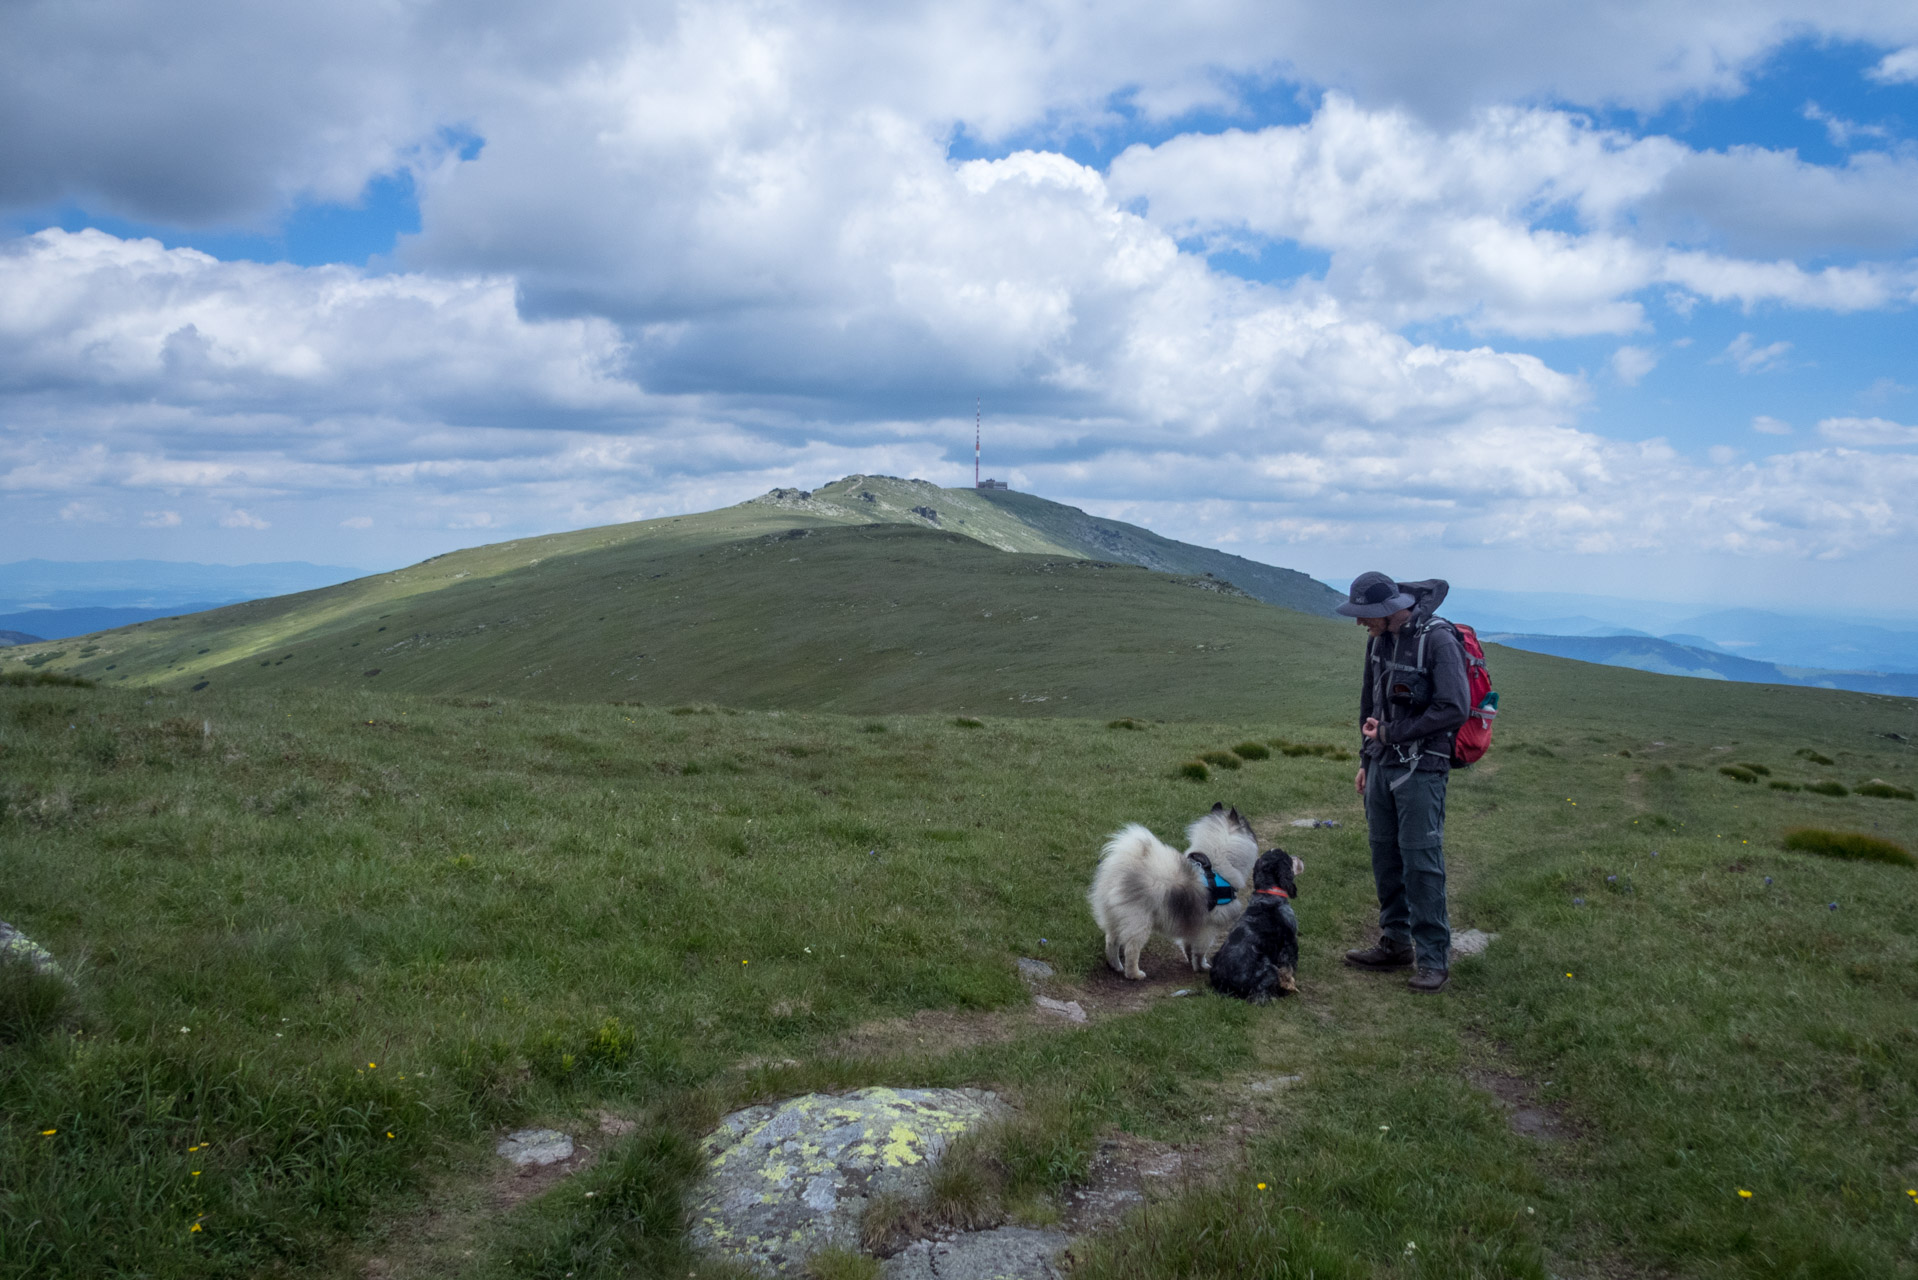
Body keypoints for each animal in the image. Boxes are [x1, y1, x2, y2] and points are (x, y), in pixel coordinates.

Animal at [1097, 802, 1258, 982]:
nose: (1252, 830)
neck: (1217, 864)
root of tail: (1120, 869)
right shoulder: (1208, 927)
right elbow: (1201, 951)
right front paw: (1202, 967)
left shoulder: (1193, 923)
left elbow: (1189, 945)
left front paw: (1190, 960)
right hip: (1139, 922)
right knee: (1131, 949)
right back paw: (1135, 974)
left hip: (1114, 918)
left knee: (1111, 941)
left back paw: (1116, 966)